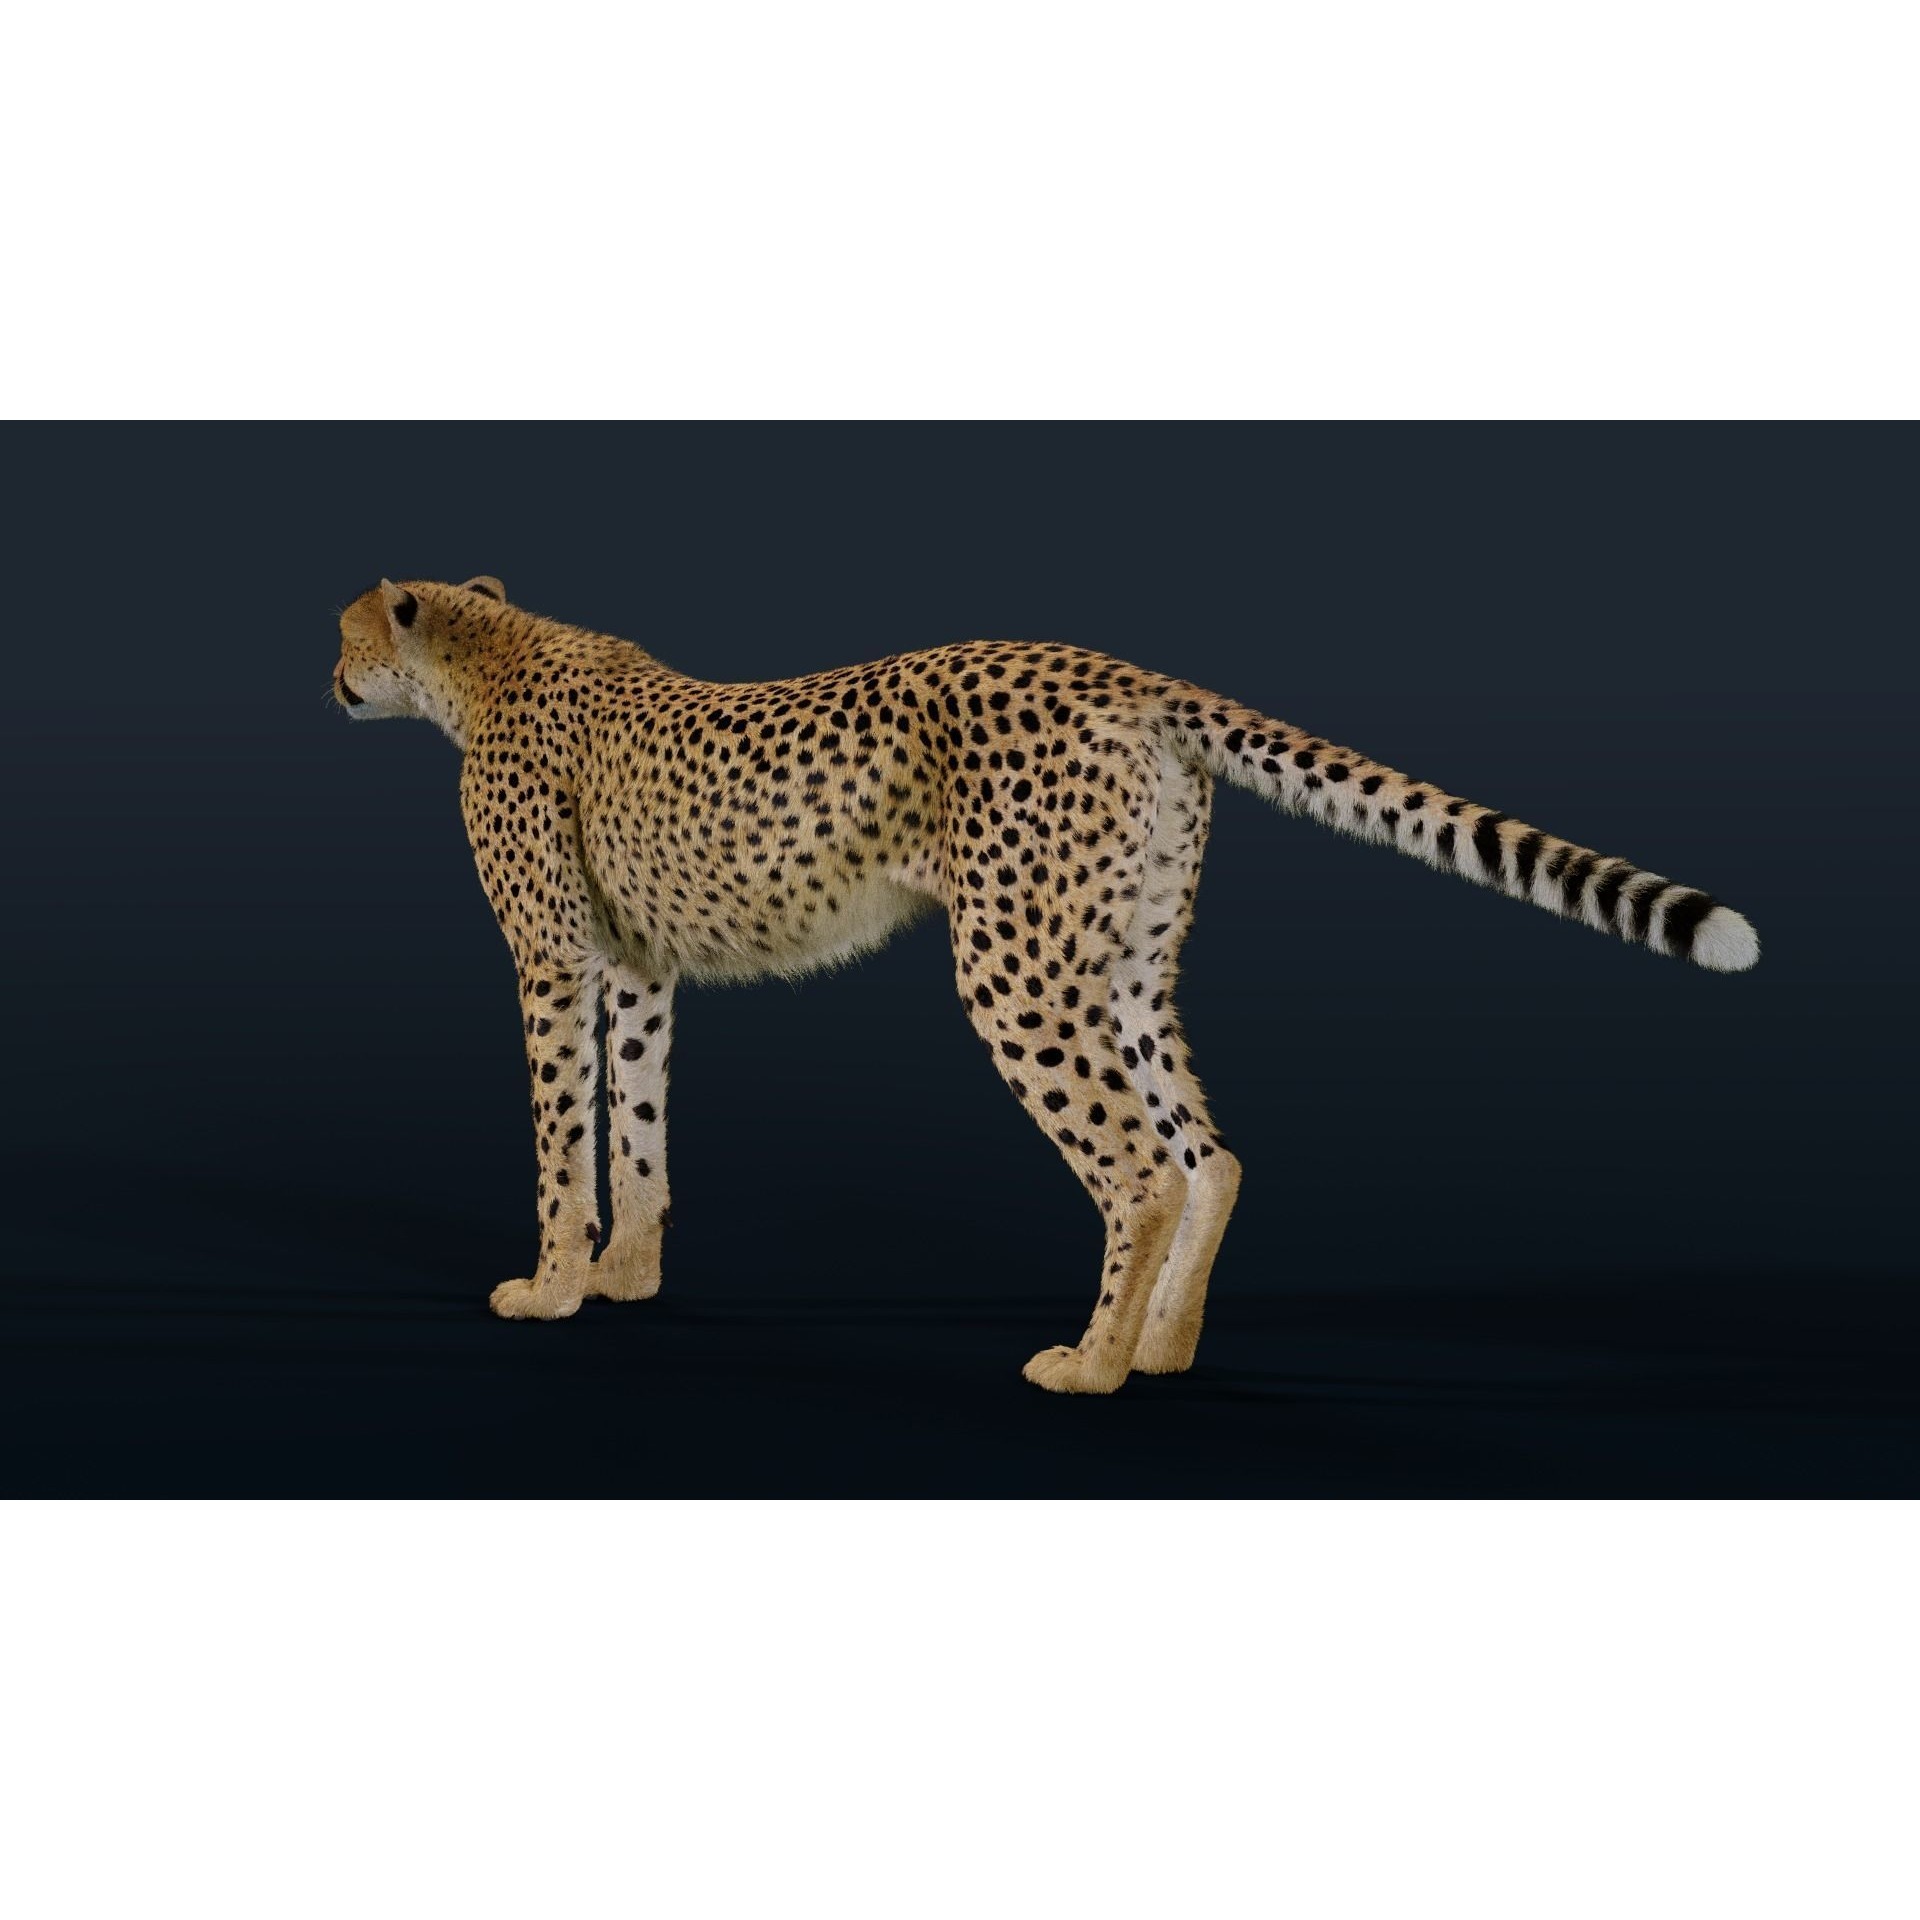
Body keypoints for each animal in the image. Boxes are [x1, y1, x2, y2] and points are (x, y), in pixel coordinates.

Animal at [334, 577, 1759, 1393]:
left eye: (344, 632)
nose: (332, 676)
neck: (487, 652)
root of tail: (1123, 670)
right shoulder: (637, 966)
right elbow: (634, 1129)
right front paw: (626, 1279)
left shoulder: (551, 959)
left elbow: (560, 1142)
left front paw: (550, 1289)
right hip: (1114, 959)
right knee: (1208, 1155)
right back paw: (1168, 1352)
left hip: (1016, 966)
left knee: (1138, 1167)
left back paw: (1092, 1367)